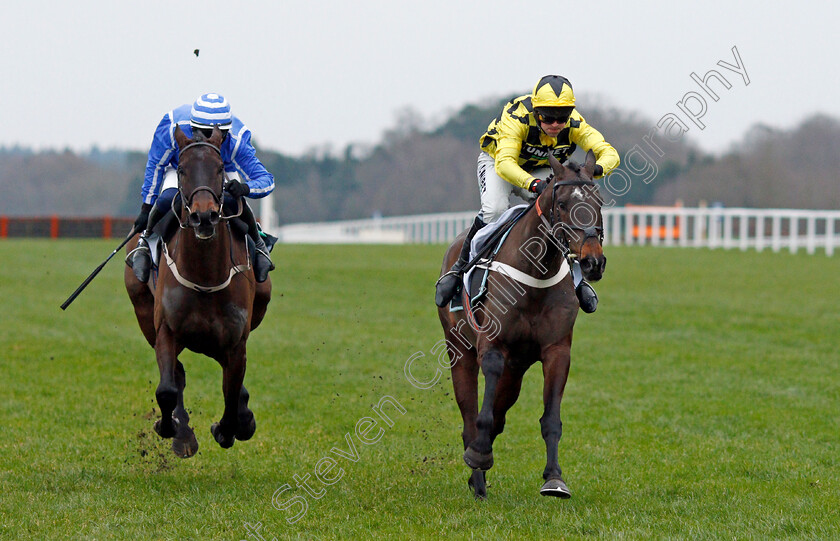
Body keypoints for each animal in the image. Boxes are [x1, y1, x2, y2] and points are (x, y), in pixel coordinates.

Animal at [124, 125, 272, 456]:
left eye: (219, 169)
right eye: (181, 169)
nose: (204, 216)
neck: (205, 277)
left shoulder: (235, 341)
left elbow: (231, 391)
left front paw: (230, 427)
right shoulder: (166, 329)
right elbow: (167, 388)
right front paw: (173, 430)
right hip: (142, 310)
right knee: (177, 373)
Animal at [436, 150, 608, 496]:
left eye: (598, 202)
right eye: (562, 204)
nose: (592, 262)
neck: (535, 277)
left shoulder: (557, 350)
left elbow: (550, 419)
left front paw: (554, 478)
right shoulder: (492, 345)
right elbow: (483, 413)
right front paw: (479, 455)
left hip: (517, 367)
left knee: (500, 412)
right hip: (458, 349)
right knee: (469, 414)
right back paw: (477, 475)